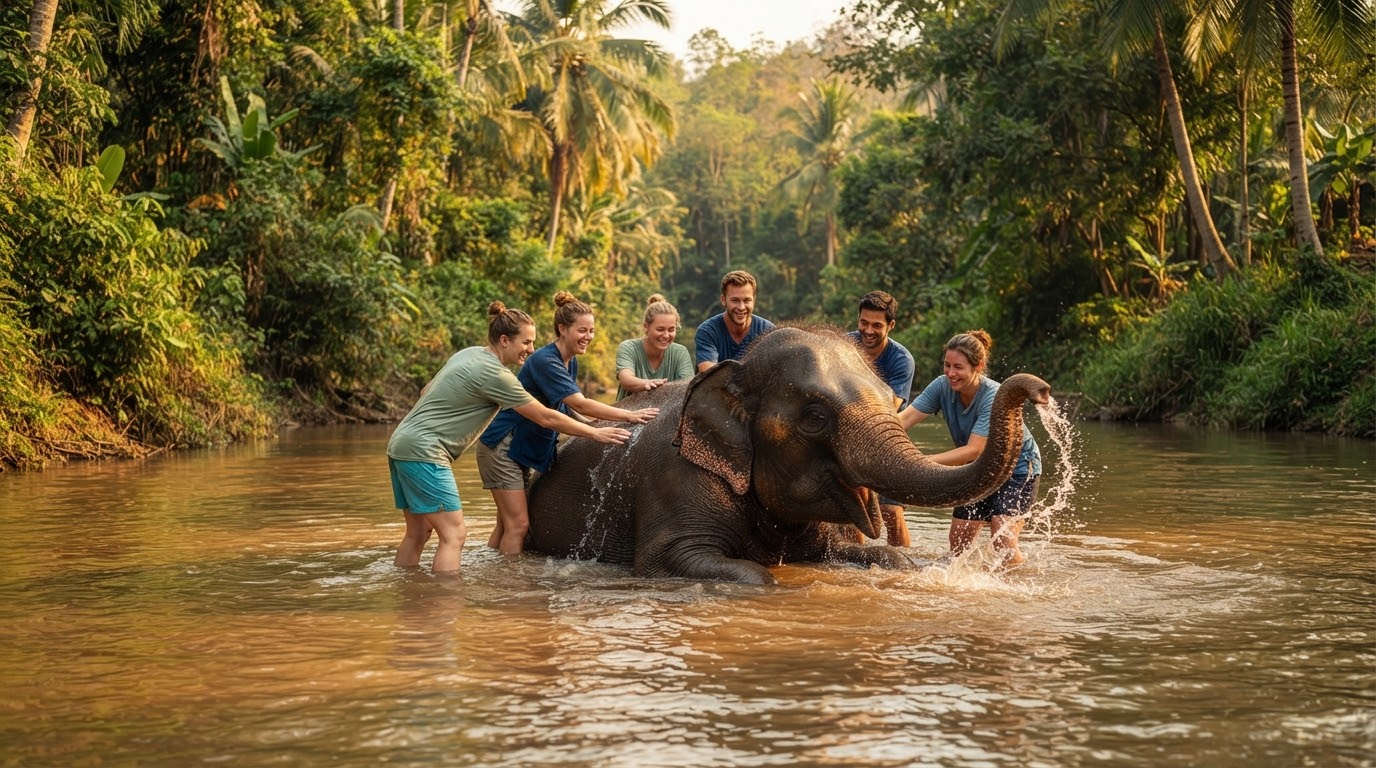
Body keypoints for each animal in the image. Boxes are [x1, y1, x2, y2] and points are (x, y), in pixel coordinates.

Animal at [523, 326, 1051, 585]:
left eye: (892, 398)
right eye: (814, 416)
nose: (1040, 389)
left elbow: (871, 556)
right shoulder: (674, 481)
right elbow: (729, 572)